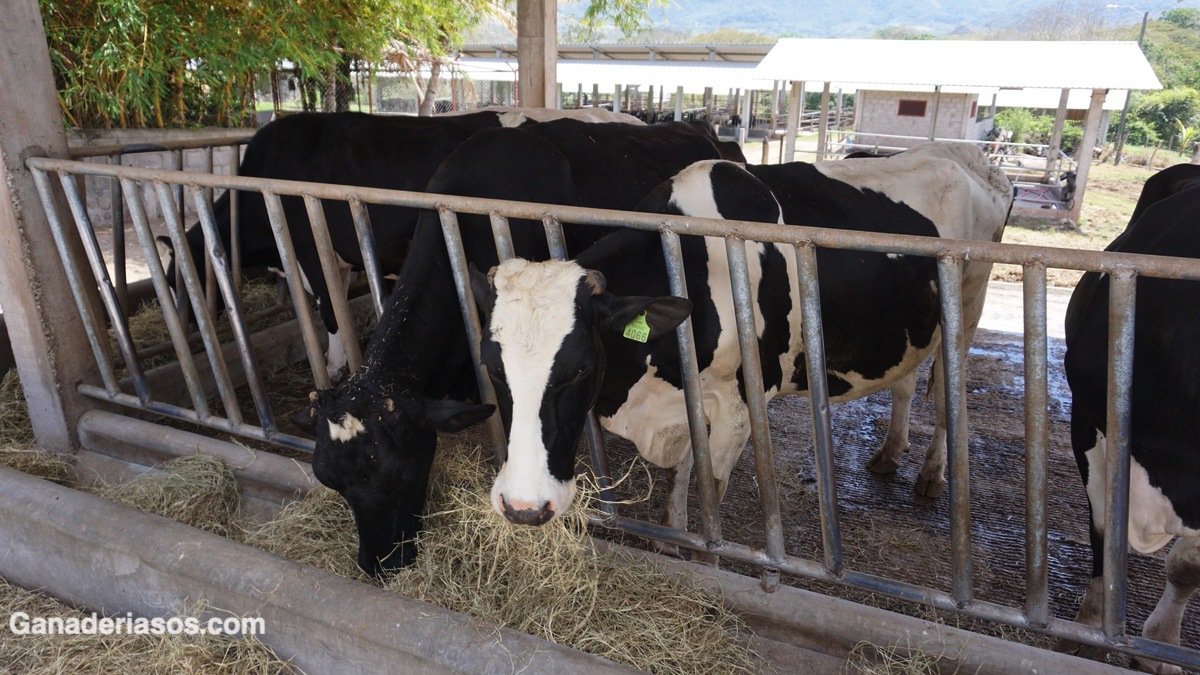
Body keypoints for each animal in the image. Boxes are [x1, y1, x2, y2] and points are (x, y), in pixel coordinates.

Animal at [468, 142, 1013, 533]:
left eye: (580, 367)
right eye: (493, 367)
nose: (522, 507)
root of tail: (966, 156)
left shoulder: (740, 402)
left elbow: (707, 488)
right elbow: (679, 483)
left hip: (967, 305)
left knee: (947, 397)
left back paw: (932, 474)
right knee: (904, 382)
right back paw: (889, 454)